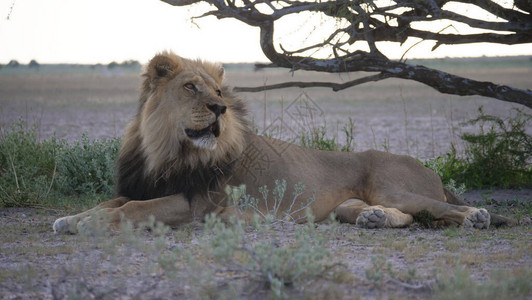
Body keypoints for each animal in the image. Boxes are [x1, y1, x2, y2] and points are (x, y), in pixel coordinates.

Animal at [53, 51, 516, 234]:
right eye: (190, 88)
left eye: (217, 93)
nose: (219, 109)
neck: (162, 148)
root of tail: (429, 167)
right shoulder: (144, 185)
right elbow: (111, 203)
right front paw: (72, 218)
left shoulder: (194, 203)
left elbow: (131, 209)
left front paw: (87, 224)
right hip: (350, 207)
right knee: (400, 216)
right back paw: (374, 219)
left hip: (395, 186)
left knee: (439, 208)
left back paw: (475, 215)